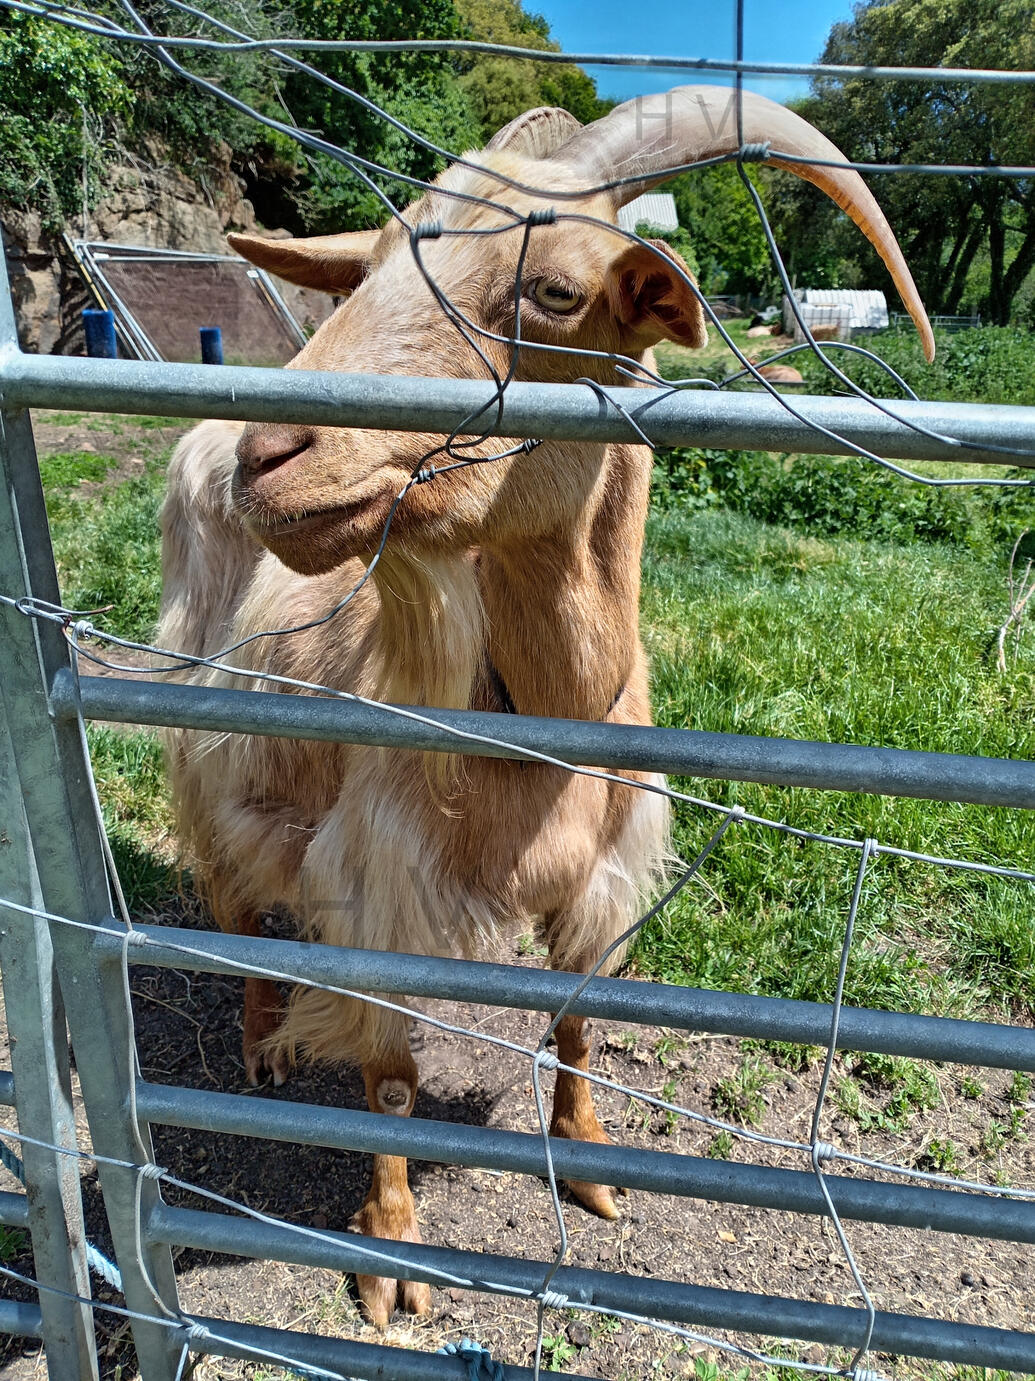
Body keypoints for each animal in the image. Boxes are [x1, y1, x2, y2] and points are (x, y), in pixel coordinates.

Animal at [159, 86, 933, 1325]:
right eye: (368, 270)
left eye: (555, 292)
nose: (267, 455)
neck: (539, 717)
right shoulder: (389, 886)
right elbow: (389, 1077)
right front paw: (390, 1251)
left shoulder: (603, 874)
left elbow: (576, 1019)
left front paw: (593, 1163)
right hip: (208, 744)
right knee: (233, 901)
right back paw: (263, 1045)